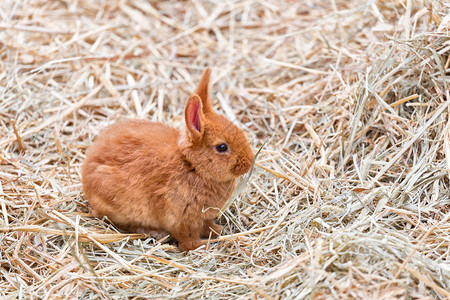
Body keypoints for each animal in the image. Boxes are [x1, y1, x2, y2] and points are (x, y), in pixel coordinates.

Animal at [81, 68, 255, 251]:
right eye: (222, 147)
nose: (249, 162)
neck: (192, 165)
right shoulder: (182, 218)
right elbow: (187, 238)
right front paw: (198, 247)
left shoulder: (203, 217)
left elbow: (207, 226)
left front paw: (217, 231)